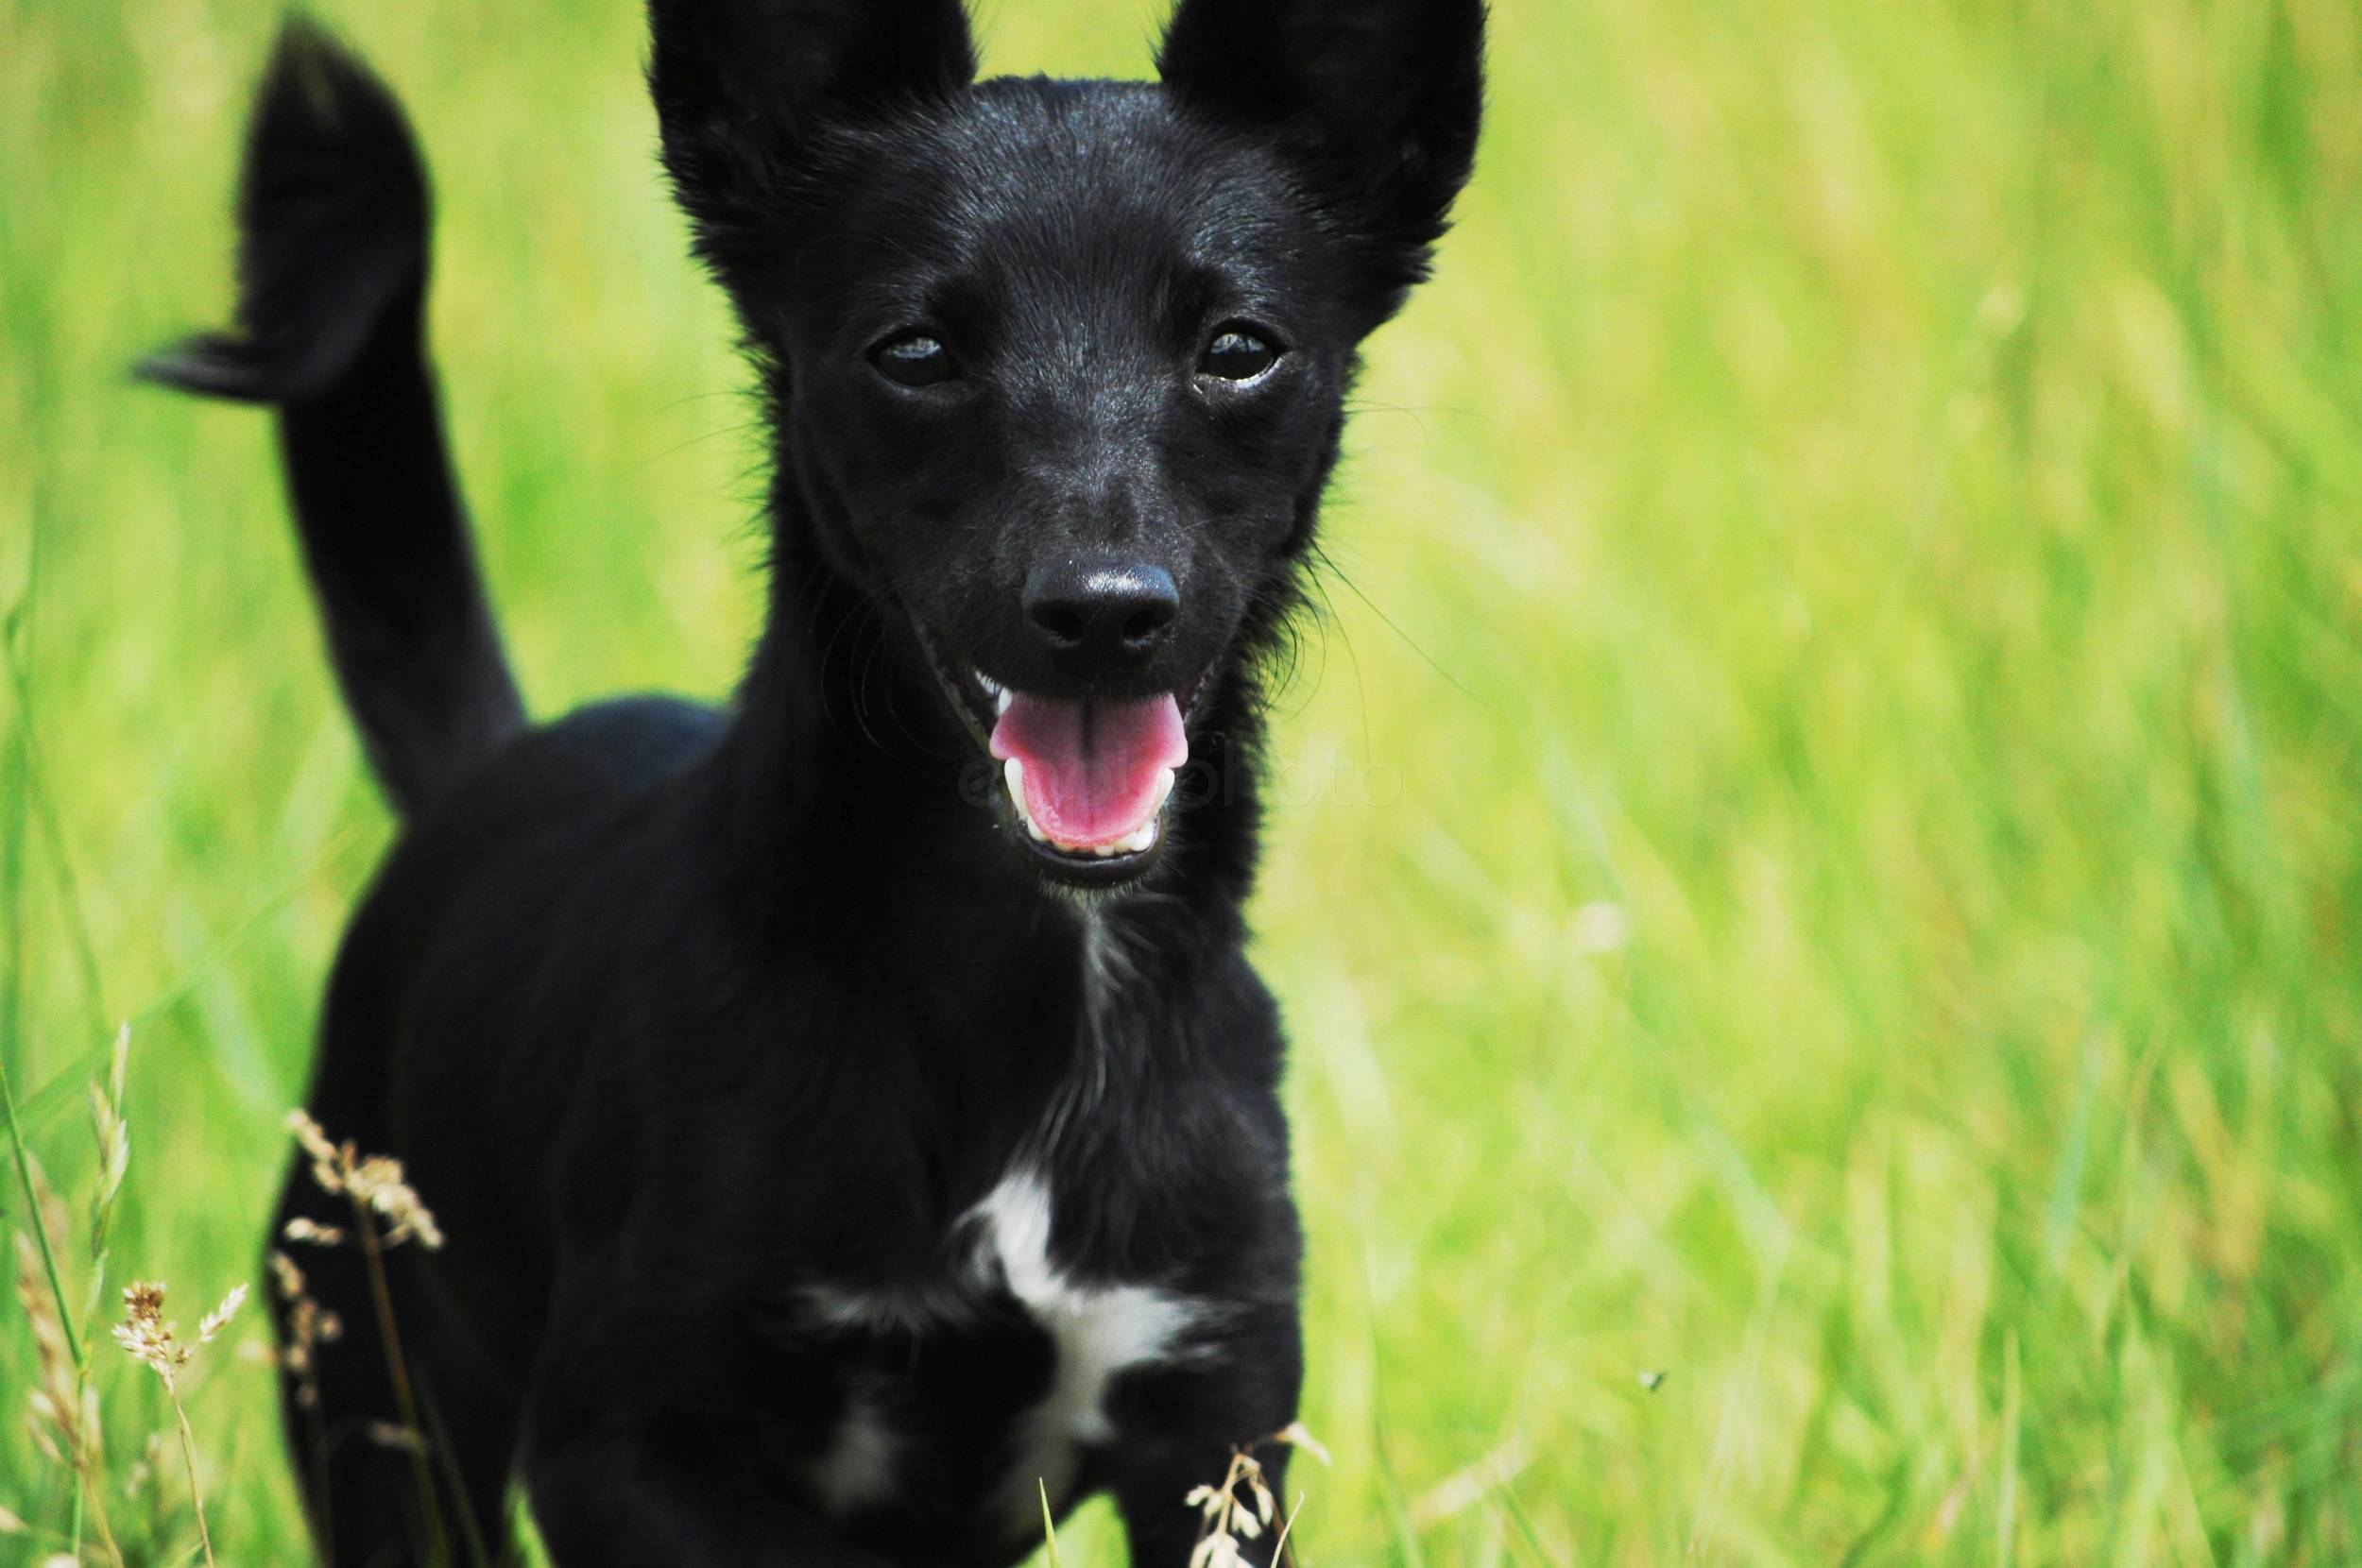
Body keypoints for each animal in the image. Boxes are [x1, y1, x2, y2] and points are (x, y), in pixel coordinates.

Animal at [143, 6, 1474, 1559]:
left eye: (1240, 349)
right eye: (916, 350)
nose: (1102, 612)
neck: (1016, 983)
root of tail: (491, 772)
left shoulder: (1217, 1430)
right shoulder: (623, 1446)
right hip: (381, 1402)